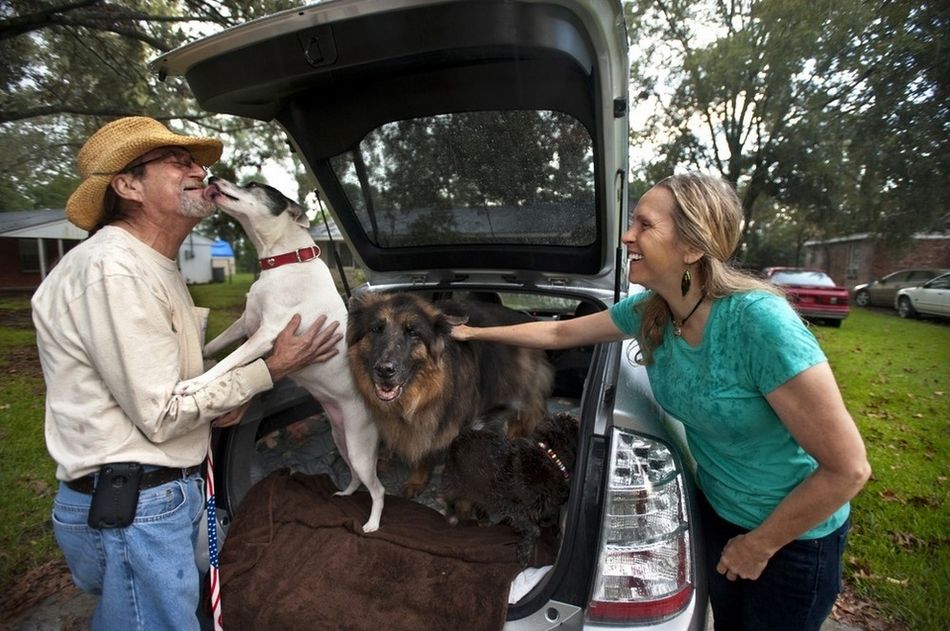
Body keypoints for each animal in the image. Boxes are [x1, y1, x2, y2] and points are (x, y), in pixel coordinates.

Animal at [175, 178, 386, 532]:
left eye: (252, 185)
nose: (212, 179)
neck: (287, 261)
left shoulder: (265, 334)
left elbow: (229, 362)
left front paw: (194, 384)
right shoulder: (245, 323)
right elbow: (216, 347)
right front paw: (203, 354)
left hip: (359, 446)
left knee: (378, 489)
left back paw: (371, 523)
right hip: (341, 438)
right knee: (358, 478)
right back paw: (344, 493)